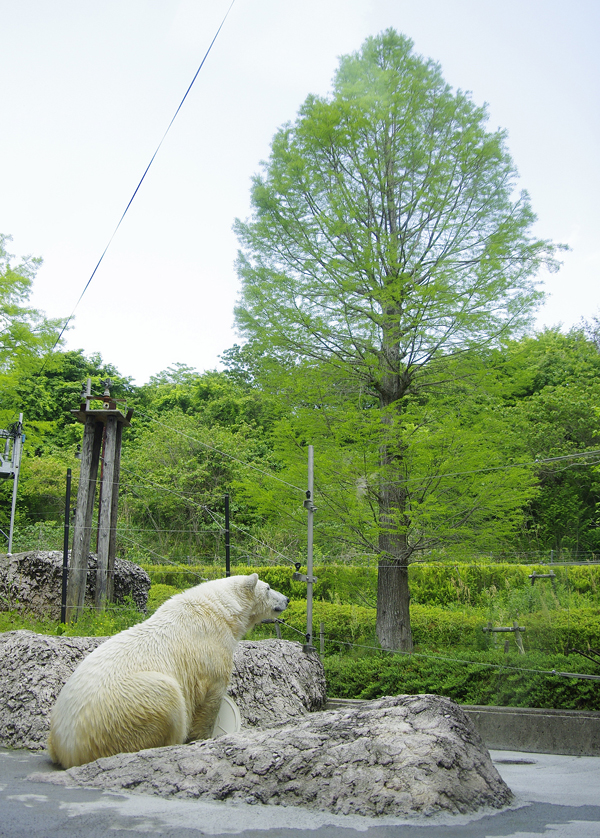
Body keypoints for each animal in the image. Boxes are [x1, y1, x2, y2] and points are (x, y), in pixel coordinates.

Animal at [47, 576, 288, 768]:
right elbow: (211, 697)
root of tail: (67, 747)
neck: (218, 610)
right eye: (268, 588)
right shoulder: (210, 650)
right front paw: (203, 738)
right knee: (167, 697)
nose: (285, 599)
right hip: (127, 706)